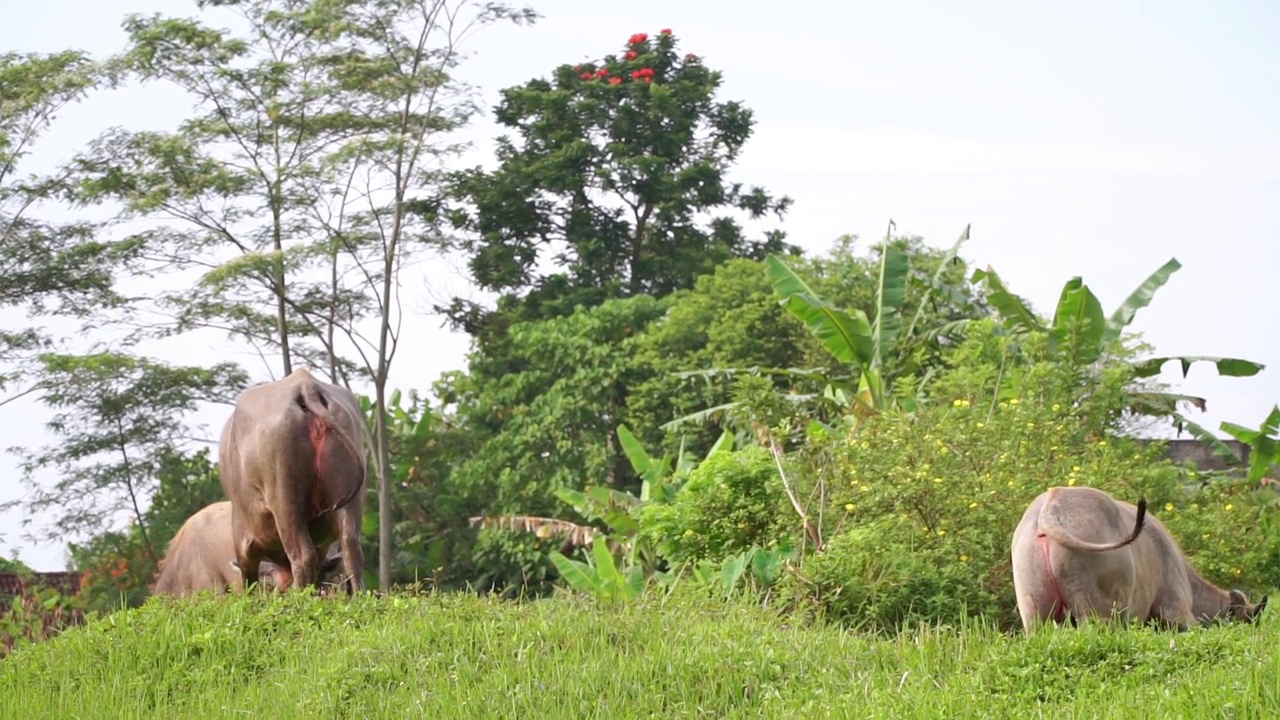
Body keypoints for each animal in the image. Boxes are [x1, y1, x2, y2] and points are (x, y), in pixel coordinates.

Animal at [217, 366, 368, 591]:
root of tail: (306, 387)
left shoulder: (242, 542)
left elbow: (249, 582)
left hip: (285, 502)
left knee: (302, 556)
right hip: (349, 496)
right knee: (351, 547)